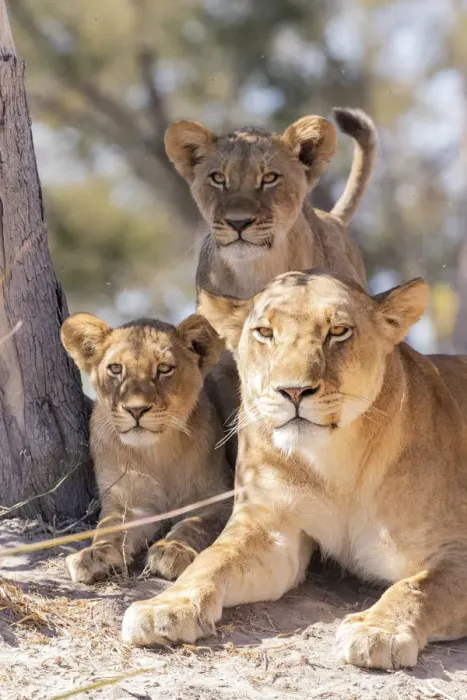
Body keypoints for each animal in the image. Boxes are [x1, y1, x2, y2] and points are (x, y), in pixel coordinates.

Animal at [61, 313, 232, 584]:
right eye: (116, 368)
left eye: (164, 368)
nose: (136, 409)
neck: (156, 453)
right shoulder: (129, 503)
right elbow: (109, 527)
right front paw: (94, 554)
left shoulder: (221, 498)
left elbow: (195, 524)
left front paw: (172, 550)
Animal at [121, 270, 467, 671]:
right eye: (265, 332)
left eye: (338, 331)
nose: (294, 391)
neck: (336, 464)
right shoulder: (270, 529)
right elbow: (212, 560)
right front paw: (165, 606)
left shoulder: (454, 549)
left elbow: (418, 588)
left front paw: (377, 630)